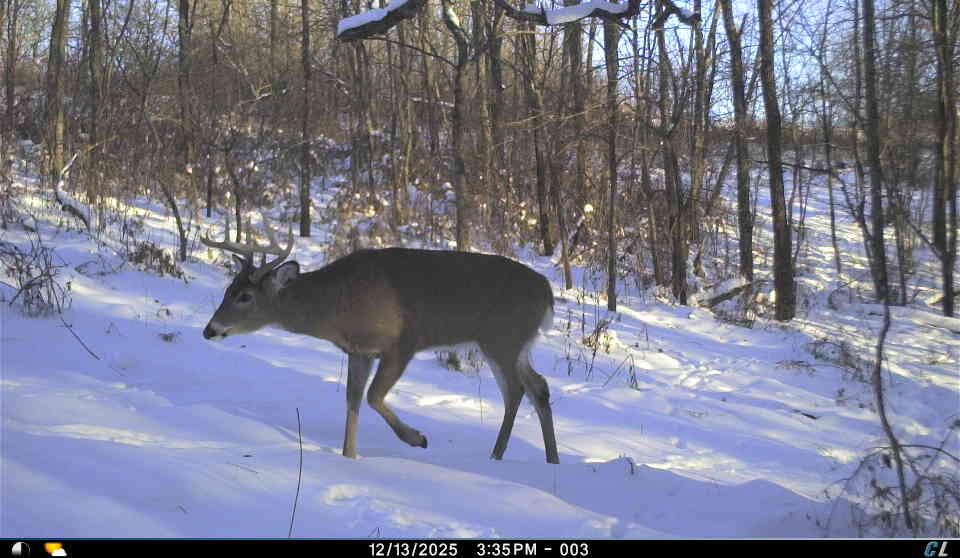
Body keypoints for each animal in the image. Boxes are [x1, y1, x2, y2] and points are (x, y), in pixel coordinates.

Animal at [200, 222, 559, 464]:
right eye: (228, 289)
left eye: (245, 296)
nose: (209, 330)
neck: (335, 307)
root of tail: (548, 292)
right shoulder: (359, 352)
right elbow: (353, 401)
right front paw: (349, 456)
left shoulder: (402, 343)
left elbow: (372, 396)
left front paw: (417, 438)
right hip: (515, 344)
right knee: (537, 386)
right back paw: (549, 459)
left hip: (502, 339)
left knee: (516, 390)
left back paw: (496, 456)